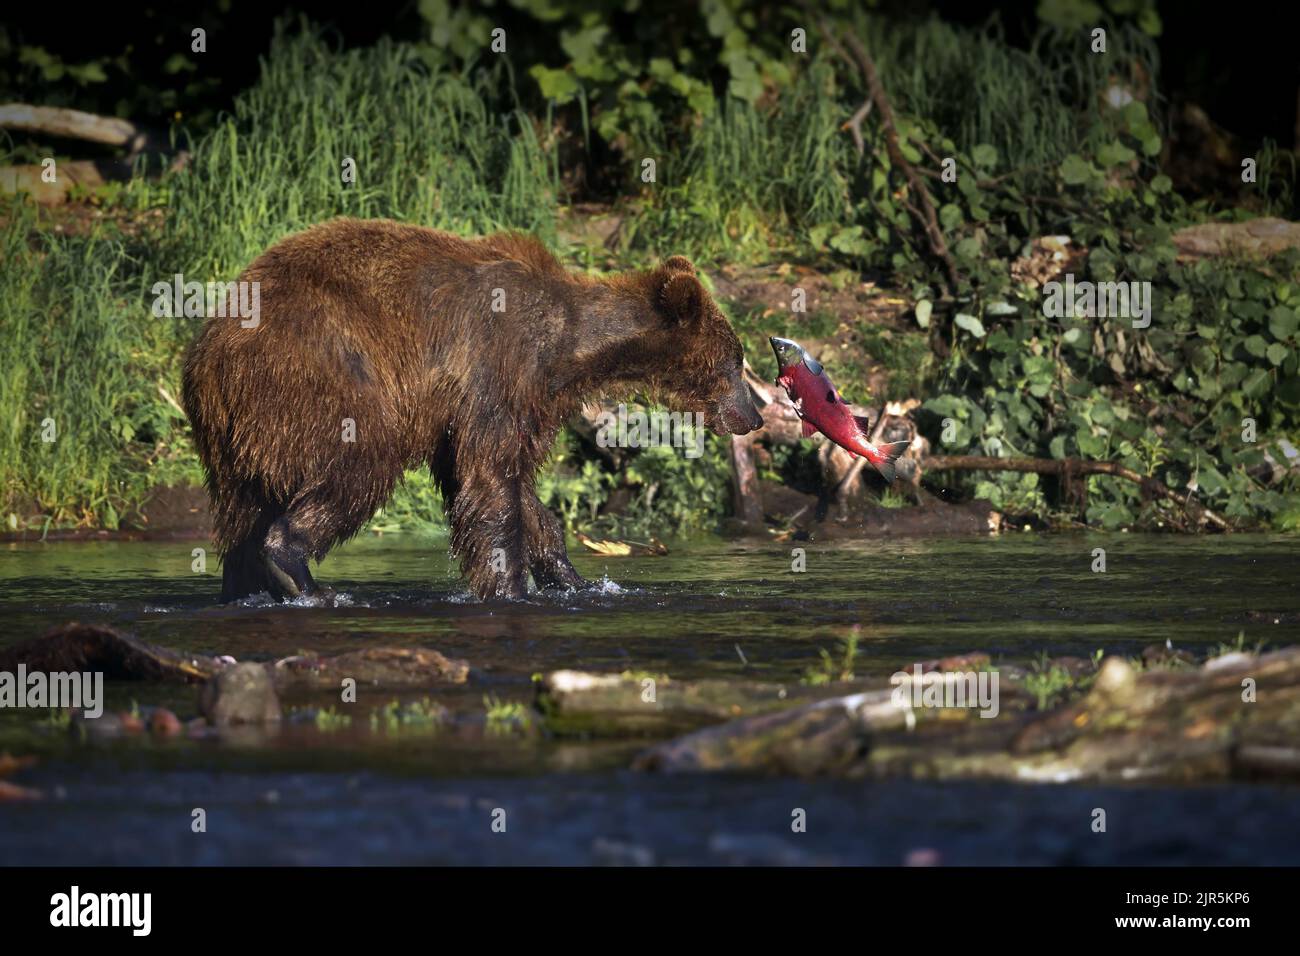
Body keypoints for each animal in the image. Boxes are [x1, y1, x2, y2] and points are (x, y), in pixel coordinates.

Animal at [183, 221, 759, 600]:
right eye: (737, 361)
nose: (753, 415)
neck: (570, 347)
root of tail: (207, 355)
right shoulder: (495, 366)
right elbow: (490, 482)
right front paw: (510, 589)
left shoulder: (522, 400)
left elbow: (517, 485)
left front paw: (574, 578)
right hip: (321, 378)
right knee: (359, 466)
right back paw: (294, 568)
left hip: (235, 433)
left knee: (242, 512)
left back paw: (244, 586)